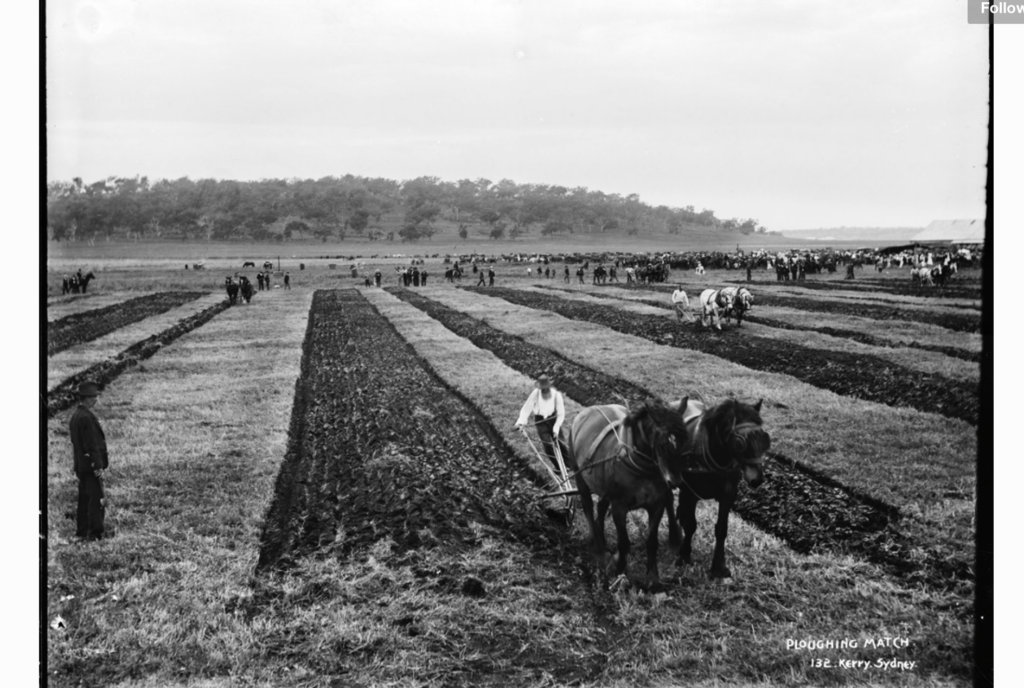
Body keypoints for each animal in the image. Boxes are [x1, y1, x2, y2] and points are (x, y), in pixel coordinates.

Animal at [565, 397, 692, 589]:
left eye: (685, 442)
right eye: (663, 443)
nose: (676, 481)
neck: (643, 469)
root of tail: (587, 411)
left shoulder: (657, 505)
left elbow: (652, 542)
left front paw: (653, 579)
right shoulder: (619, 507)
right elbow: (624, 543)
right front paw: (618, 571)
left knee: (601, 506)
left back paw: (601, 538)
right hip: (579, 476)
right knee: (587, 506)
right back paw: (597, 546)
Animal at [663, 397, 770, 581]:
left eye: (764, 439)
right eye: (741, 442)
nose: (757, 479)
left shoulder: (728, 495)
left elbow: (721, 529)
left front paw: (719, 566)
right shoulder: (691, 493)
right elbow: (691, 525)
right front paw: (684, 555)